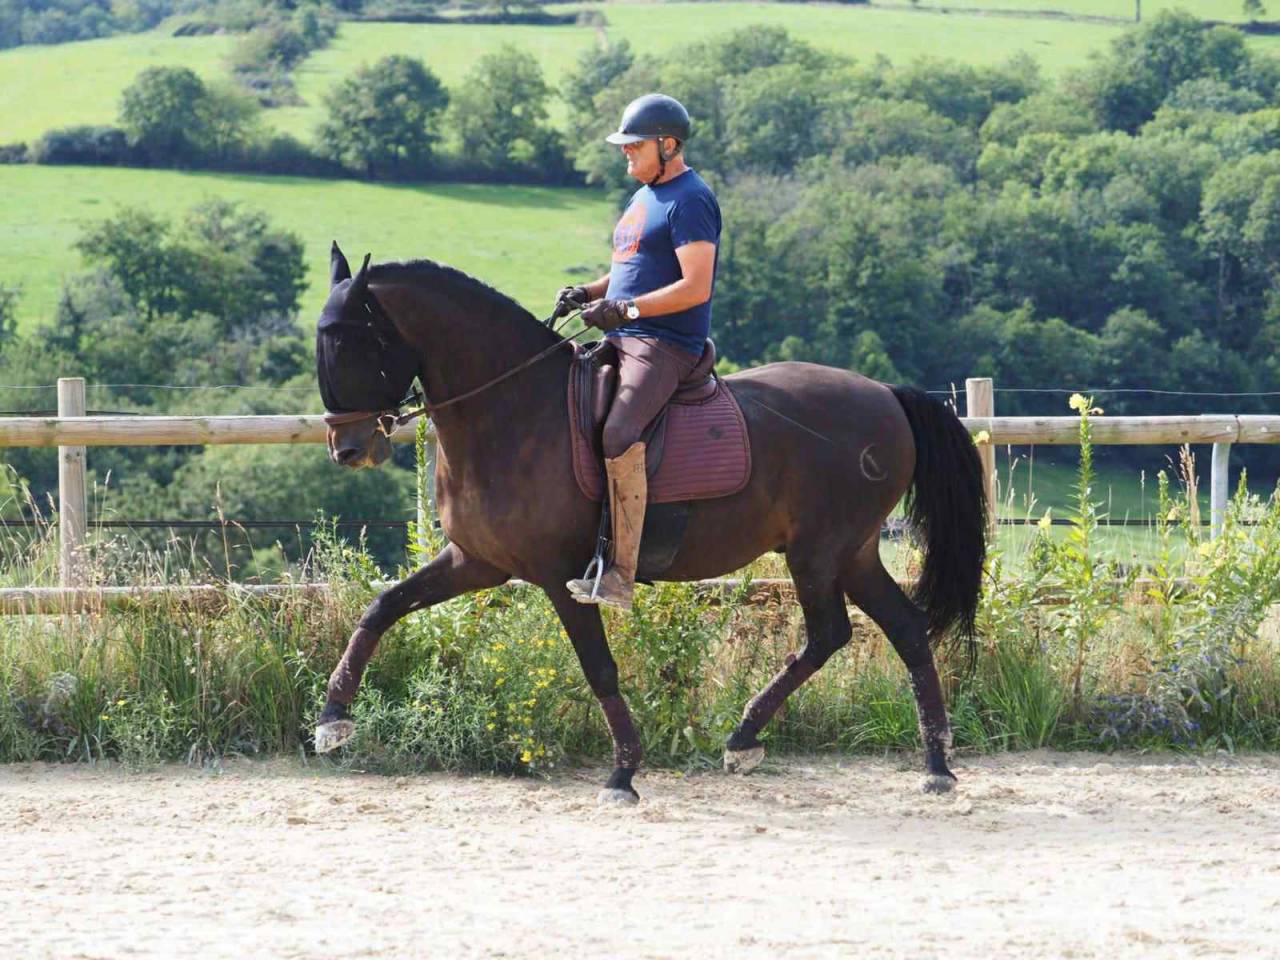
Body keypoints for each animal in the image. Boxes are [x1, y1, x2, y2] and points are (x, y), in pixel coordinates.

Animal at [314, 243, 987, 804]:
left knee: (831, 634)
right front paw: (332, 718)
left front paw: (623, 772)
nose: (348, 449)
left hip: (819, 552)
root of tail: (887, 394)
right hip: (853, 552)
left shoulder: (561, 577)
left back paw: (752, 739)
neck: (513, 410)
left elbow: (599, 668)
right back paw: (931, 765)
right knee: (903, 628)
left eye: (349, 344)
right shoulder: (475, 562)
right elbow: (382, 608)